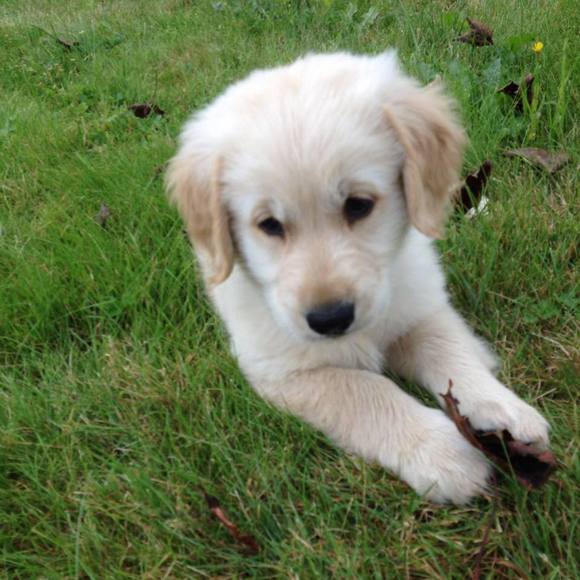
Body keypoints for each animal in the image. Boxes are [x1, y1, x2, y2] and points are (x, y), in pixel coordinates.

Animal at [166, 51, 550, 503]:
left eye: (358, 205)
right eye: (269, 225)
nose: (330, 318)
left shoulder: (421, 307)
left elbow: (450, 353)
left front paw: (505, 411)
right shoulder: (283, 372)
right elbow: (366, 392)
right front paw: (443, 453)